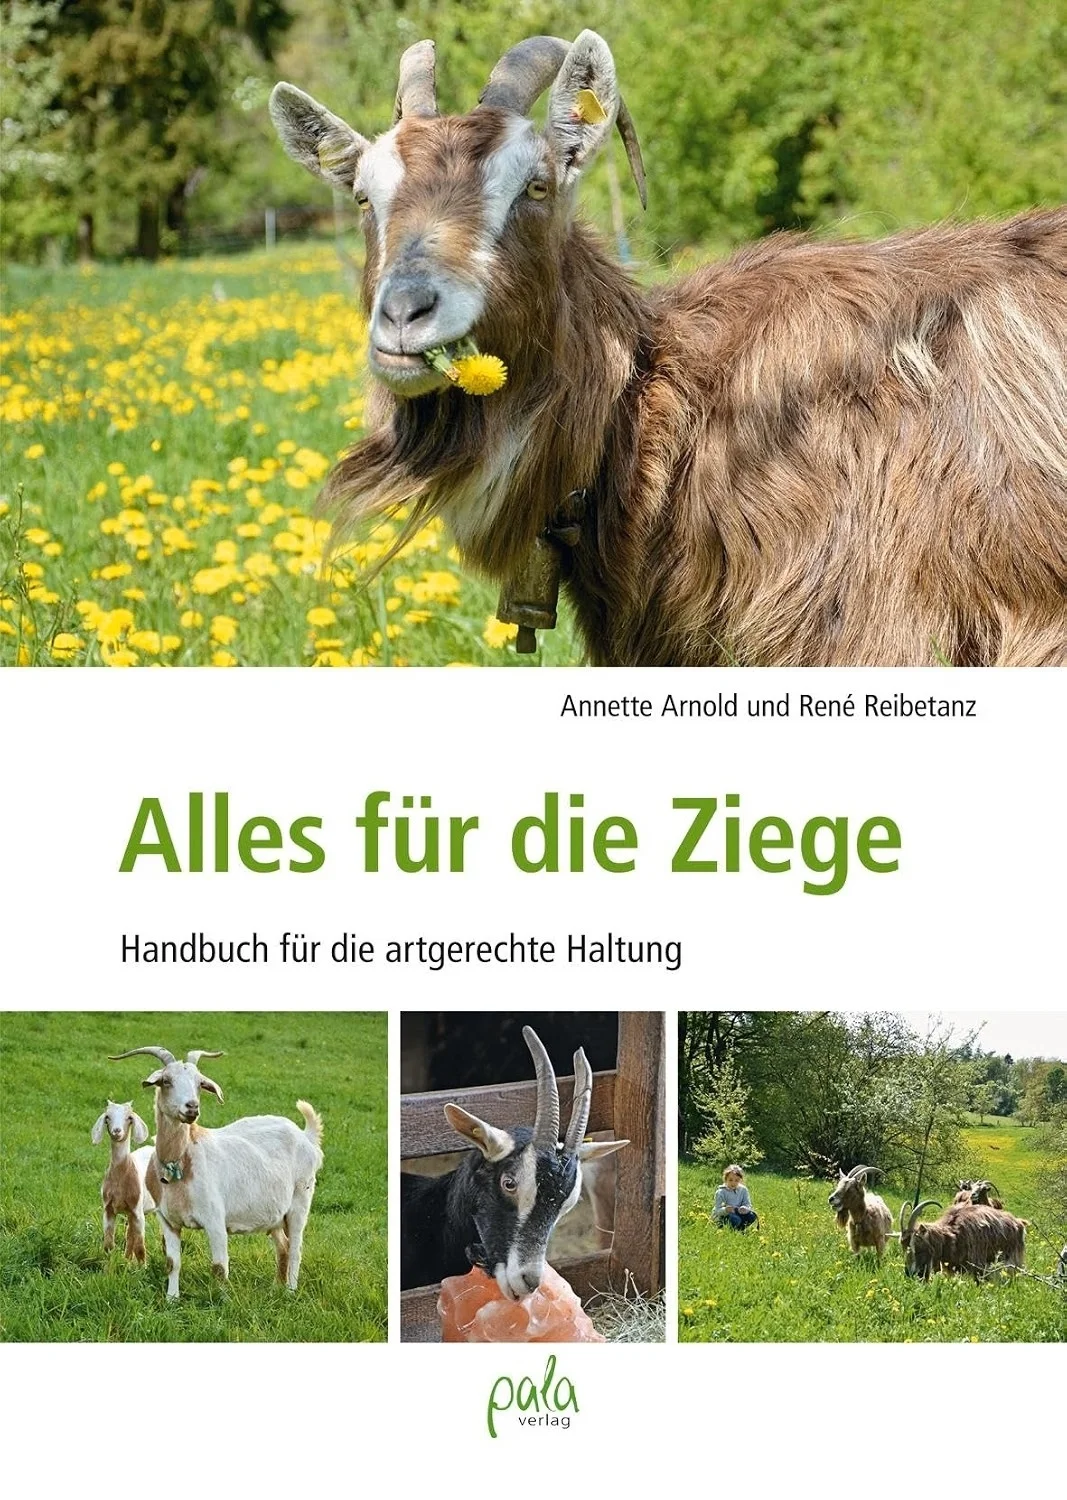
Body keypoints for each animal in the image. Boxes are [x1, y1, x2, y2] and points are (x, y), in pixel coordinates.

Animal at [91, 1100, 153, 1264]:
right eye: (107, 1117)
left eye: (129, 1117)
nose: (117, 1131)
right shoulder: (108, 1209)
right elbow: (108, 1244)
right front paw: (109, 1265)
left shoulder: (138, 1211)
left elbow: (140, 1247)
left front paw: (142, 1268)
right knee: (129, 1234)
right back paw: (127, 1260)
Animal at [109, 1047, 323, 1300]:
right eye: (166, 1081)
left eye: (199, 1083)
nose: (192, 1107)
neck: (181, 1162)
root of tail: (305, 1136)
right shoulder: (168, 1220)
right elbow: (172, 1262)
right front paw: (172, 1298)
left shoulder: (215, 1220)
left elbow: (220, 1268)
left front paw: (222, 1300)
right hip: (275, 1214)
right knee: (283, 1246)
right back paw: (275, 1288)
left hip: (300, 1201)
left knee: (296, 1248)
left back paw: (290, 1291)